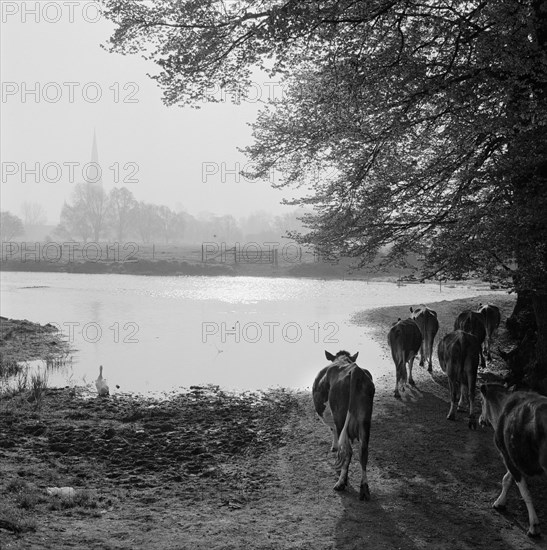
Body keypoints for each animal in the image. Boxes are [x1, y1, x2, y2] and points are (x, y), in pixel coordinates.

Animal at [312, 352, 376, 502]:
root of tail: (355, 370)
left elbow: (333, 431)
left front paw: (334, 447)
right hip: (365, 421)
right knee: (363, 452)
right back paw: (364, 489)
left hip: (341, 418)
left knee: (348, 451)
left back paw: (341, 483)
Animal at [480, 384, 547, 540]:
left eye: (481, 402)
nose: (480, 419)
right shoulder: (515, 457)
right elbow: (507, 479)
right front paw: (500, 502)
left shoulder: (507, 454)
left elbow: (523, 490)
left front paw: (534, 527)